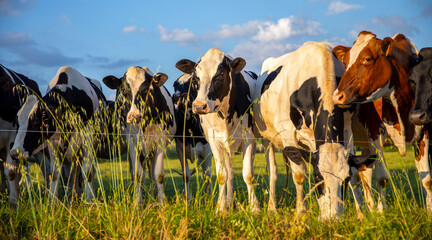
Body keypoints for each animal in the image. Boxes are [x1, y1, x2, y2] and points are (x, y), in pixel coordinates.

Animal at [10, 66, 106, 202]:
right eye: (18, 122)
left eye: (37, 121)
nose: (14, 153)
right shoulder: (53, 142)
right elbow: (55, 173)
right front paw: (52, 201)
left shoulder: (87, 136)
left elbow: (87, 172)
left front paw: (89, 201)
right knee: (70, 173)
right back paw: (71, 195)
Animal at [103, 66, 176, 205]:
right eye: (124, 90)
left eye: (146, 90)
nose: (134, 116)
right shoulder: (132, 142)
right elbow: (137, 174)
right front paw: (137, 202)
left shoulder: (160, 141)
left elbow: (158, 174)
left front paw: (162, 202)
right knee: (135, 173)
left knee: (151, 174)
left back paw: (153, 195)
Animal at [172, 73, 213, 201]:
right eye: (175, 85)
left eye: (193, 84)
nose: (176, 96)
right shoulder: (180, 150)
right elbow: (186, 175)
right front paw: (188, 201)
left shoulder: (207, 152)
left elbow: (207, 176)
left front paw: (210, 200)